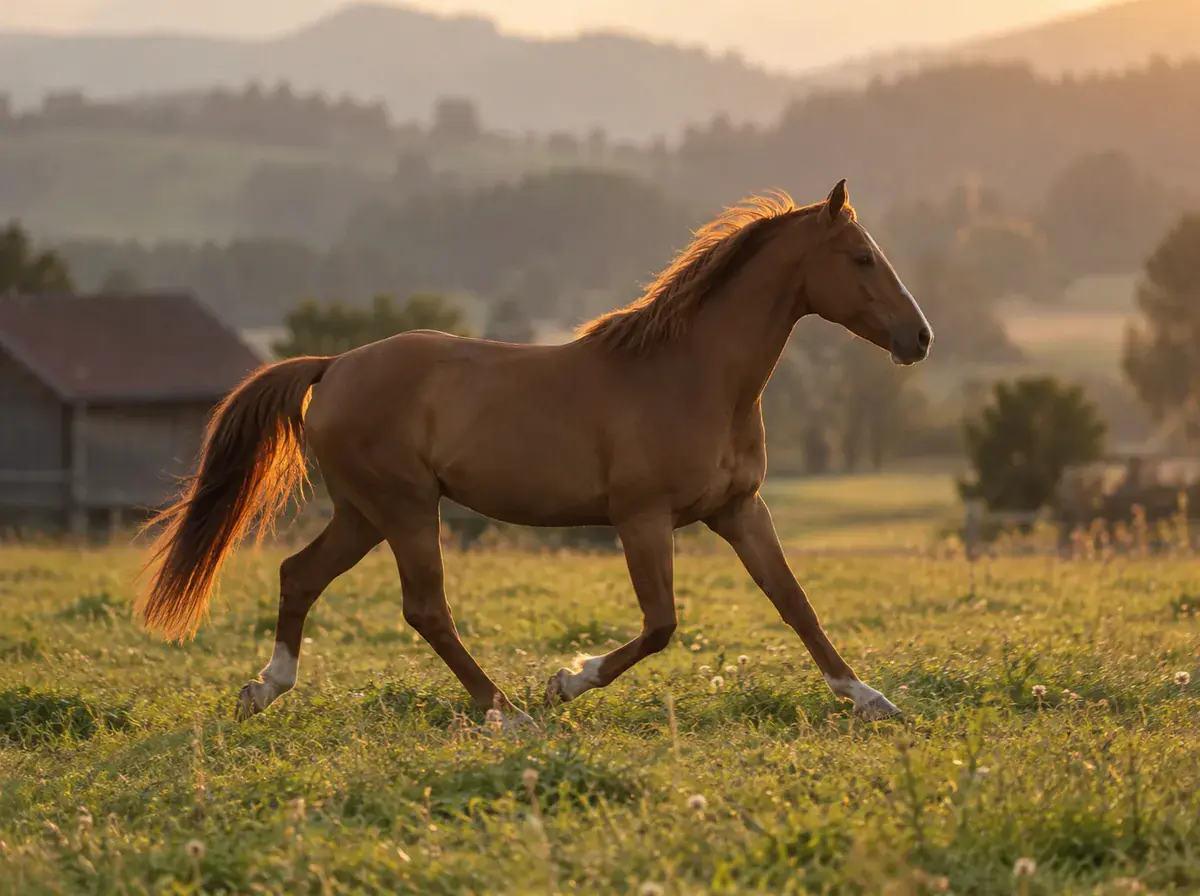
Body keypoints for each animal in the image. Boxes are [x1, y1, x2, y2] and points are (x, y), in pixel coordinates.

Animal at [136, 179, 933, 730]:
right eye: (862, 258)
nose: (920, 338)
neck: (694, 377)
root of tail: (333, 367)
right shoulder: (641, 518)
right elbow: (661, 625)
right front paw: (566, 681)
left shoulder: (738, 510)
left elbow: (795, 603)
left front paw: (870, 699)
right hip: (405, 507)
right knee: (425, 608)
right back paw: (510, 713)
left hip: (363, 513)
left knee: (300, 576)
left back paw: (264, 689)